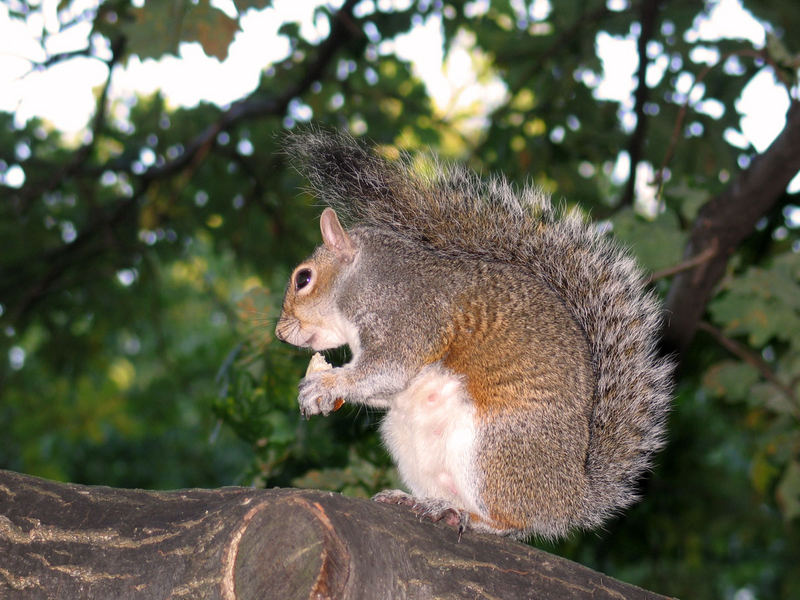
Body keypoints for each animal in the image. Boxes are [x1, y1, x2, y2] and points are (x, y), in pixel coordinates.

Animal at [276, 130, 676, 540]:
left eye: (303, 278)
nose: (280, 332)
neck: (368, 279)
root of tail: (571, 497)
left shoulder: (410, 317)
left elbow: (389, 368)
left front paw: (325, 385)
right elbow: (384, 387)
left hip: (492, 448)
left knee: (513, 522)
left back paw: (467, 517)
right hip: (410, 440)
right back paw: (423, 502)